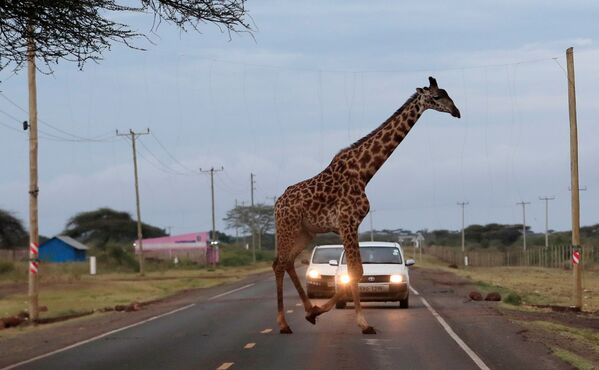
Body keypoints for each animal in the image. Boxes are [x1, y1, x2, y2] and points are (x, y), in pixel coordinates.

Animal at [274, 76, 462, 334]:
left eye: (448, 93)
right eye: (436, 97)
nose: (456, 112)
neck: (364, 172)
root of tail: (277, 204)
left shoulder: (352, 225)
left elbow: (356, 272)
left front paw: (320, 312)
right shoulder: (347, 222)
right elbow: (356, 272)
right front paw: (363, 323)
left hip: (306, 232)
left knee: (287, 262)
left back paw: (307, 311)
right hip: (288, 227)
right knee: (279, 264)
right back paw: (284, 324)